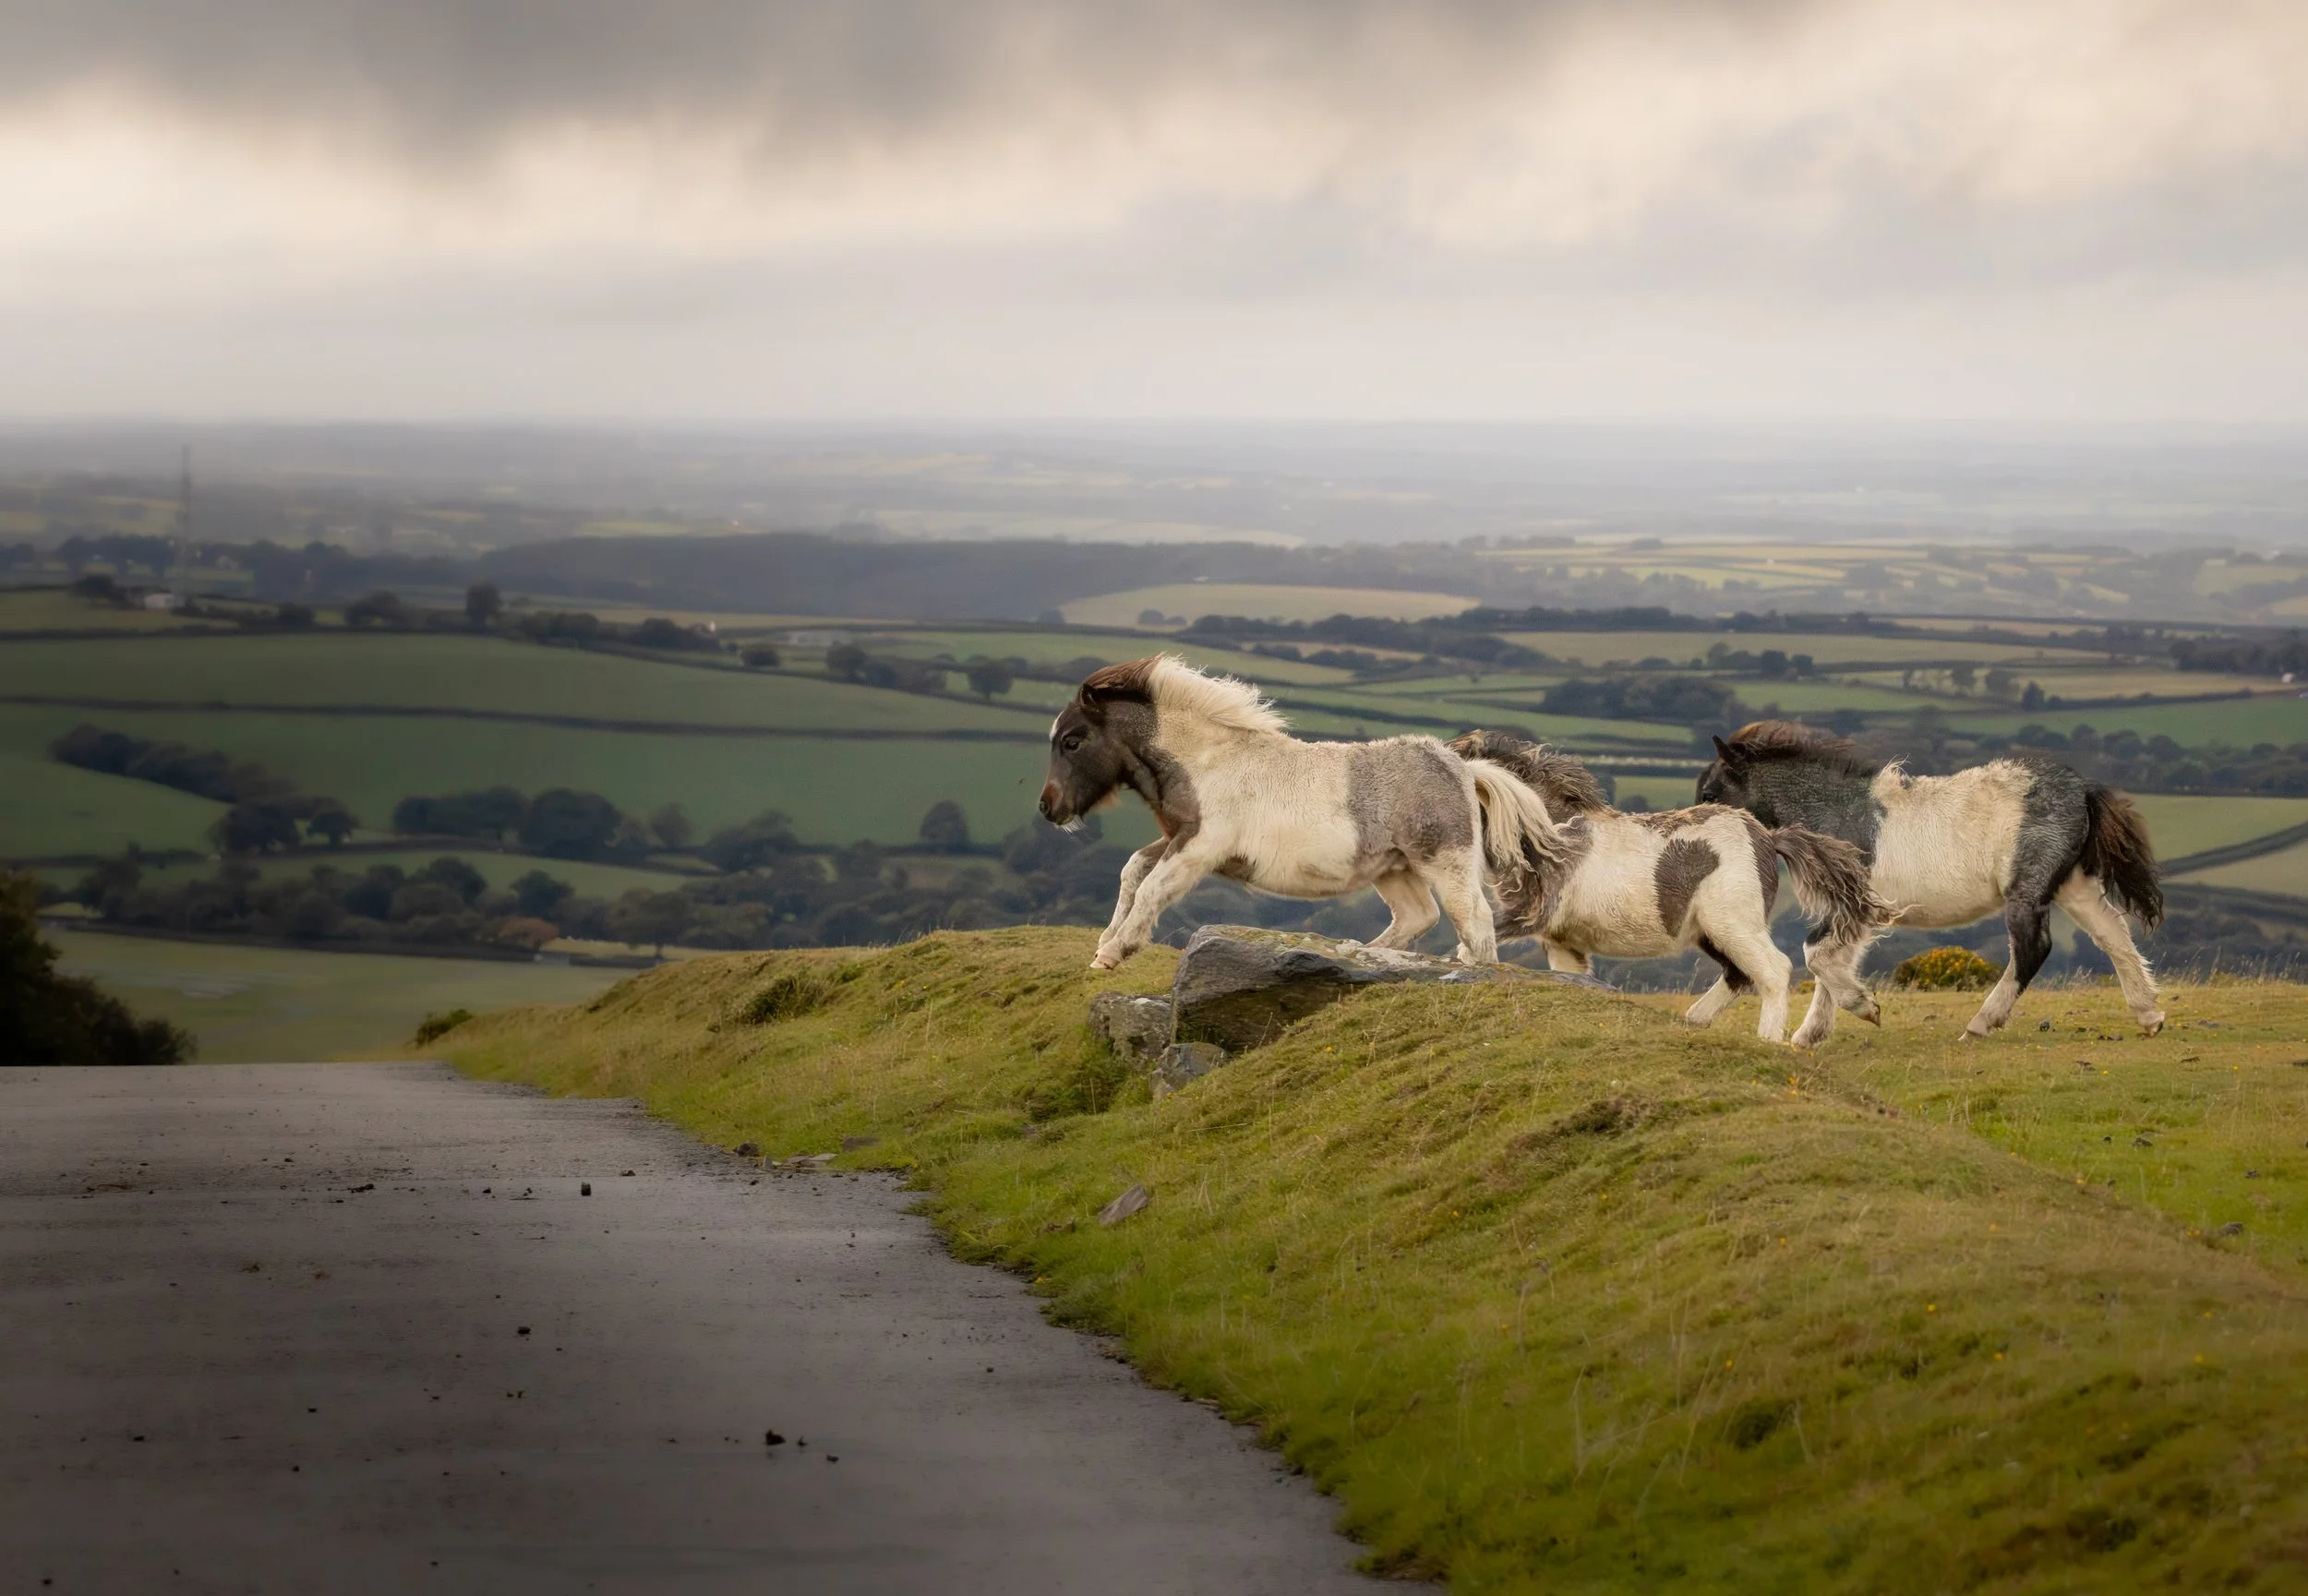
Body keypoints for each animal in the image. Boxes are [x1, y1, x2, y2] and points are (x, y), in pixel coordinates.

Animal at [1039, 656, 1565, 971]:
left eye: (1072, 741)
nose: (1048, 808)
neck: (1206, 761)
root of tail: (1462, 766)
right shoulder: (1179, 837)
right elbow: (1132, 871)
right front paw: (1107, 939)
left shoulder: (1199, 848)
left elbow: (1150, 889)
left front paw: (1113, 953)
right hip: (1395, 869)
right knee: (1419, 916)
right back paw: (1362, 955)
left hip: (1444, 863)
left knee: (1473, 921)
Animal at [1450, 730, 1884, 1044]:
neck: (1549, 831)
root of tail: (1768, 836)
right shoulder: (1561, 941)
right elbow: (1571, 978)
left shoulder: (1526, 914)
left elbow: (1467, 951)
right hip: (1710, 932)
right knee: (1739, 975)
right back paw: (1696, 1021)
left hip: (1733, 924)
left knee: (1773, 970)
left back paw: (1769, 1041)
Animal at [1695, 721, 2164, 1044]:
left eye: (1711, 795)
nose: (1698, 837)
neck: (1836, 814)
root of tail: (2083, 790)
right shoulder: (1856, 911)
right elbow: (1833, 961)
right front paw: (1811, 1035)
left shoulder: (1855, 905)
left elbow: (1817, 957)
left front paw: (1864, 1009)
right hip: (2073, 884)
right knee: (2113, 934)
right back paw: (2150, 1016)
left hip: (2027, 892)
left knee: (2034, 949)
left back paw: (1978, 1026)